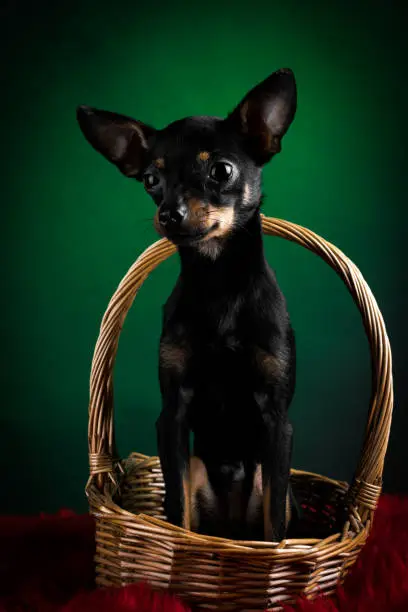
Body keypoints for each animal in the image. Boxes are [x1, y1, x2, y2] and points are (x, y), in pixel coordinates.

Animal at [77, 69, 300, 544]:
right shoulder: (172, 415)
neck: (219, 284)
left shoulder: (277, 420)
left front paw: (273, 560)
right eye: (150, 180)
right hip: (199, 468)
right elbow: (177, 508)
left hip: (264, 474)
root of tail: (231, 529)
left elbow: (274, 524)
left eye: (221, 170)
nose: (169, 213)